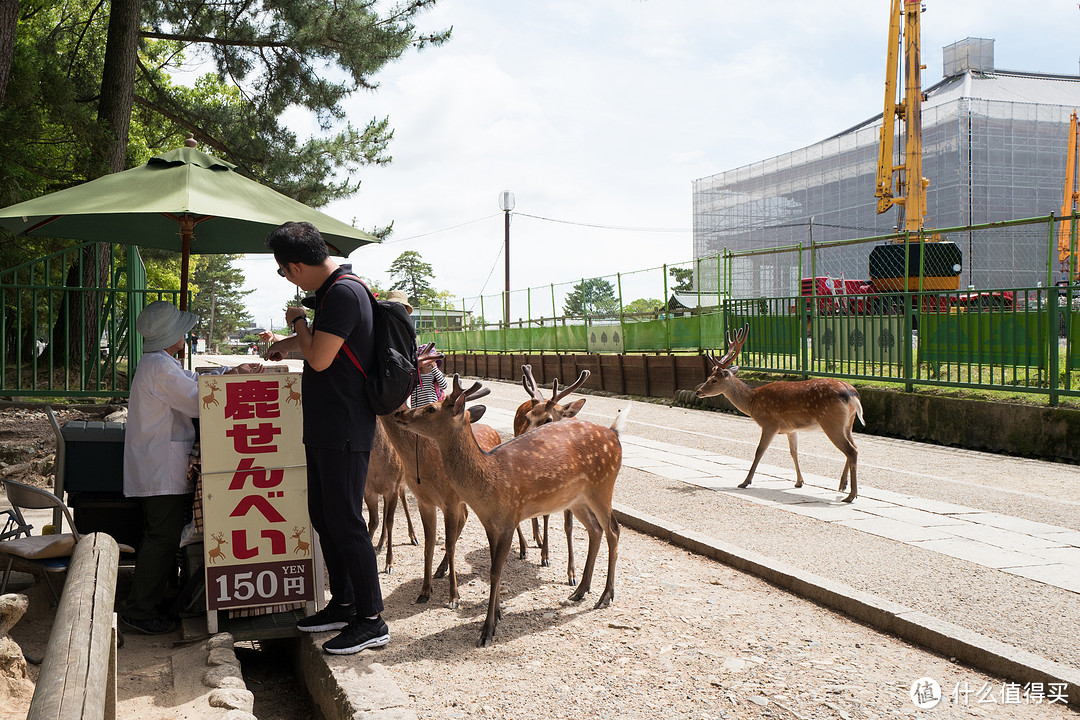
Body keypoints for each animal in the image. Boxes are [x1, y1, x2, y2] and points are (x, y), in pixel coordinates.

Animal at [514, 362, 591, 582]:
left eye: (548, 419)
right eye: (528, 417)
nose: (521, 439)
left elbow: (569, 526)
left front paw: (572, 573)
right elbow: (547, 516)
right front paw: (545, 557)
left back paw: (537, 538)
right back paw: (526, 546)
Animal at [695, 325, 864, 500]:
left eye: (714, 380)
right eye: (709, 376)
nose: (698, 392)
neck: (752, 401)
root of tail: (852, 394)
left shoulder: (770, 424)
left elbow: (759, 451)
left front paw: (745, 482)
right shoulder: (791, 429)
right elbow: (794, 452)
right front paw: (799, 482)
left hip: (831, 422)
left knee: (852, 451)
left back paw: (851, 495)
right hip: (848, 423)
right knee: (854, 447)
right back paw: (843, 485)